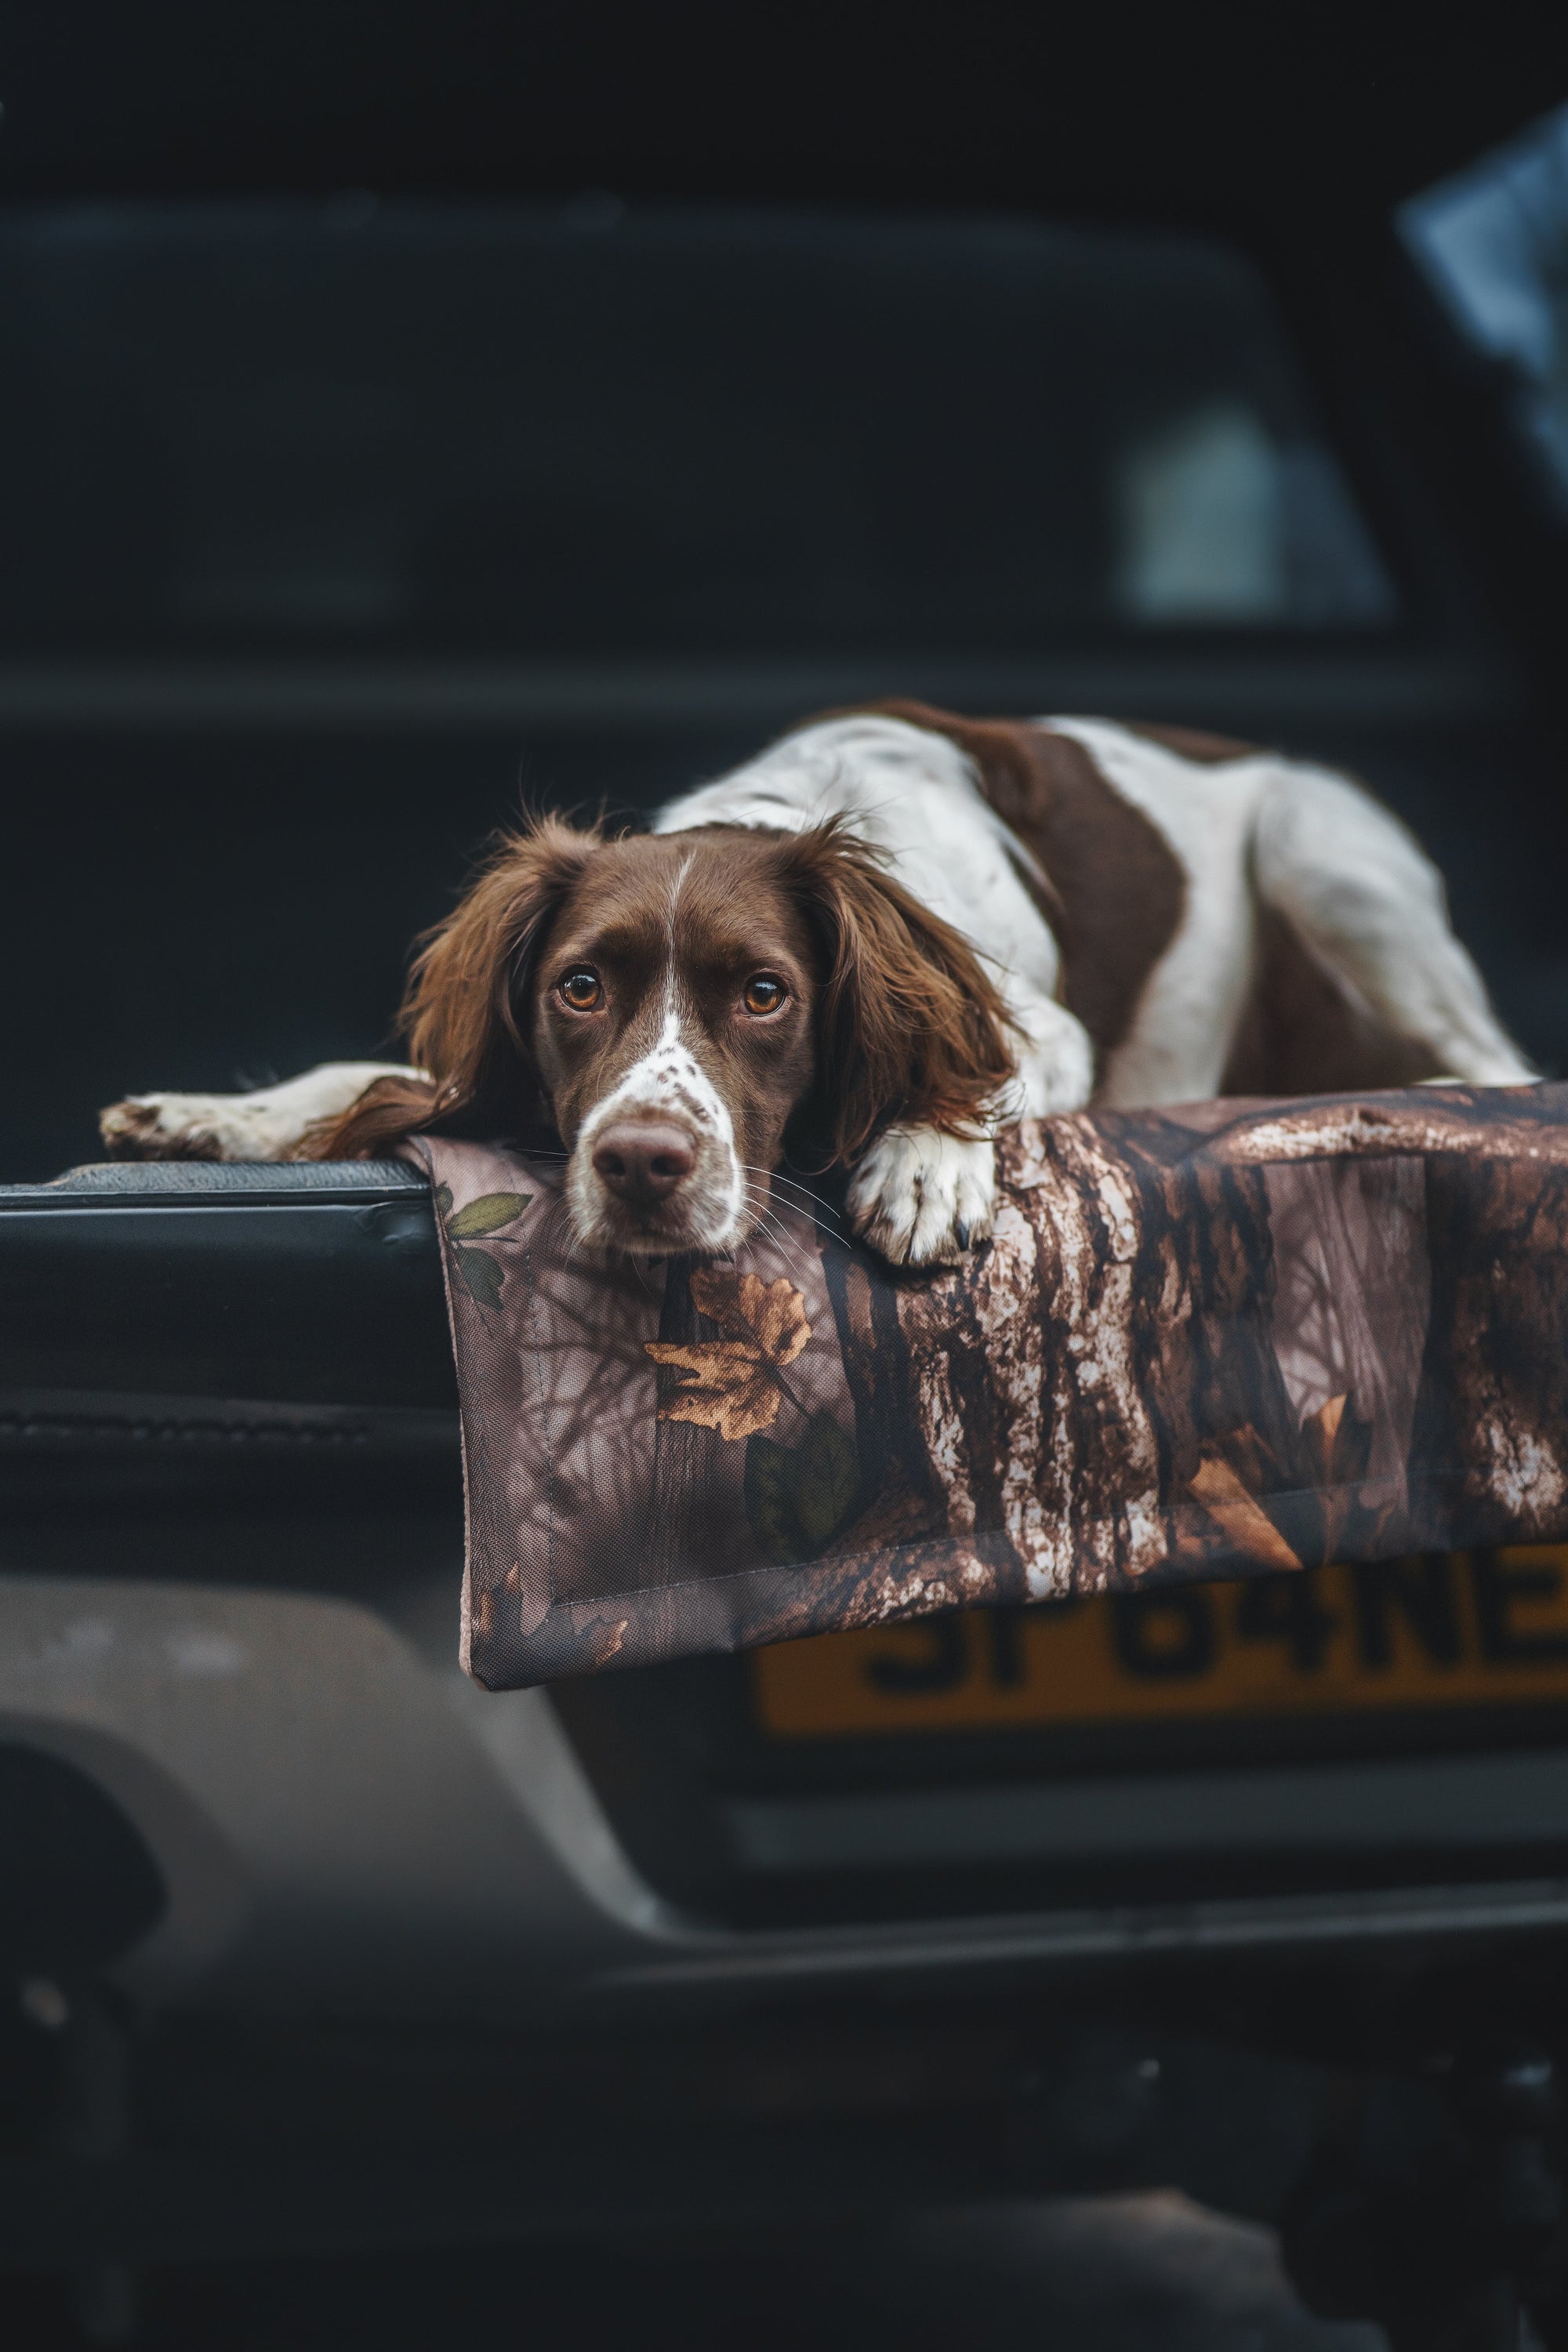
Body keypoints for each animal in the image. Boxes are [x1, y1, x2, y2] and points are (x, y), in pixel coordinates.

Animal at [103, 701, 1542, 1270]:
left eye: (763, 994)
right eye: (579, 988)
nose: (640, 1166)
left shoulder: (1043, 1022)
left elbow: (980, 1068)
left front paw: (924, 1167)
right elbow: (380, 1078)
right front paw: (216, 1117)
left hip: (1322, 851)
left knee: (1500, 1062)